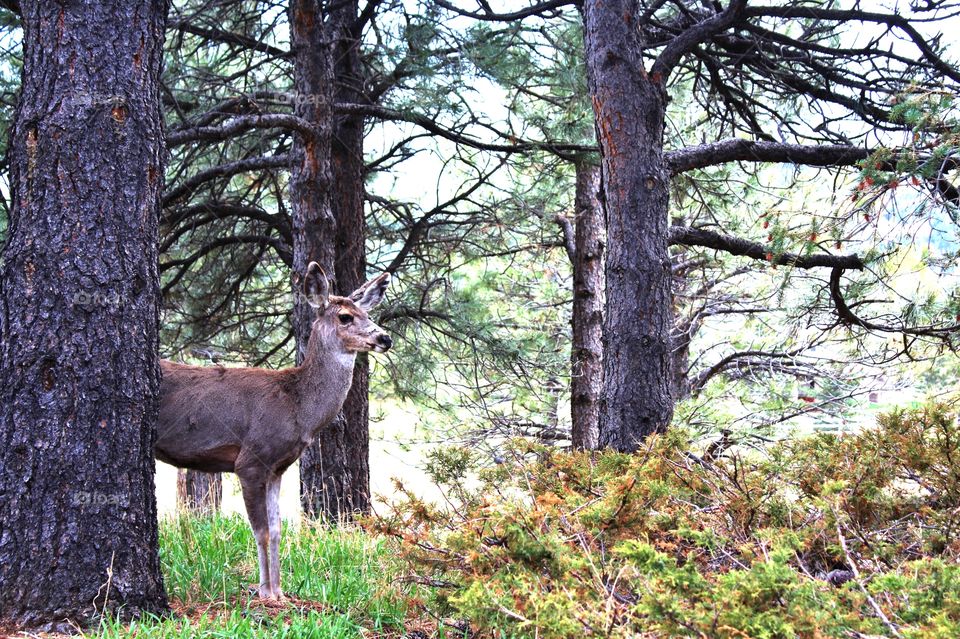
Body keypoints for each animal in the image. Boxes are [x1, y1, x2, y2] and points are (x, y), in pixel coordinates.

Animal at [155, 262, 392, 600]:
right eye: (345, 316)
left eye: (368, 313)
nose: (385, 338)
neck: (297, 407)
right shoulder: (251, 460)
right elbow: (262, 530)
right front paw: (266, 592)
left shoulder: (278, 467)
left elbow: (278, 529)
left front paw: (279, 590)